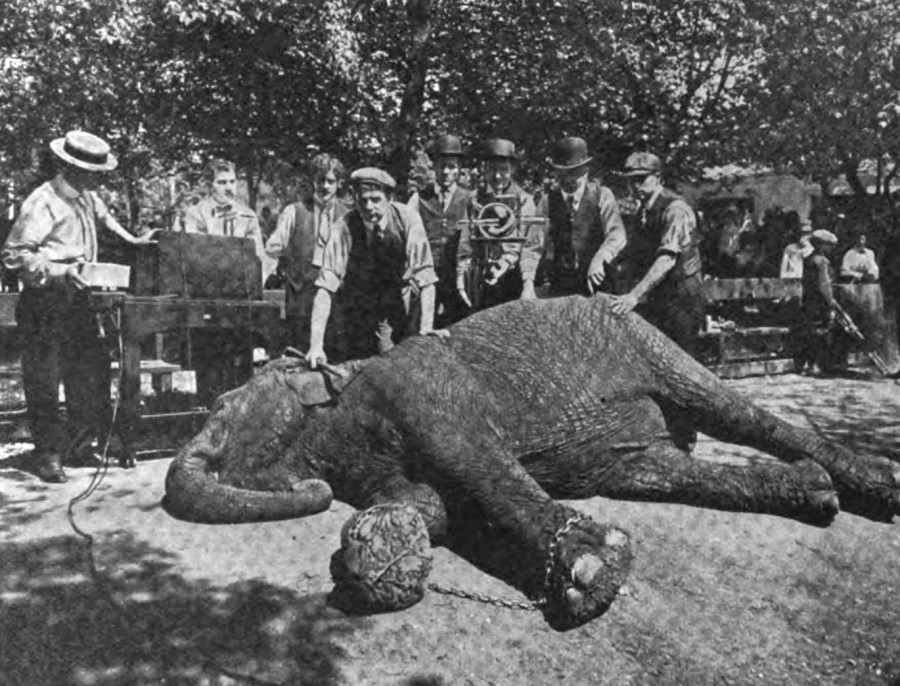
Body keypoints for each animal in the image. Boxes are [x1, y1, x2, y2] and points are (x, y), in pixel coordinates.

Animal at [163, 294, 900, 630]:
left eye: (223, 405)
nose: (311, 485)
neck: (342, 380)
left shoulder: (424, 387)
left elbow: (472, 460)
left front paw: (593, 572)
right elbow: (434, 504)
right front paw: (385, 552)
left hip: (646, 341)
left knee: (736, 412)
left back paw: (877, 484)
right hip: (626, 455)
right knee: (657, 470)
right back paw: (815, 493)